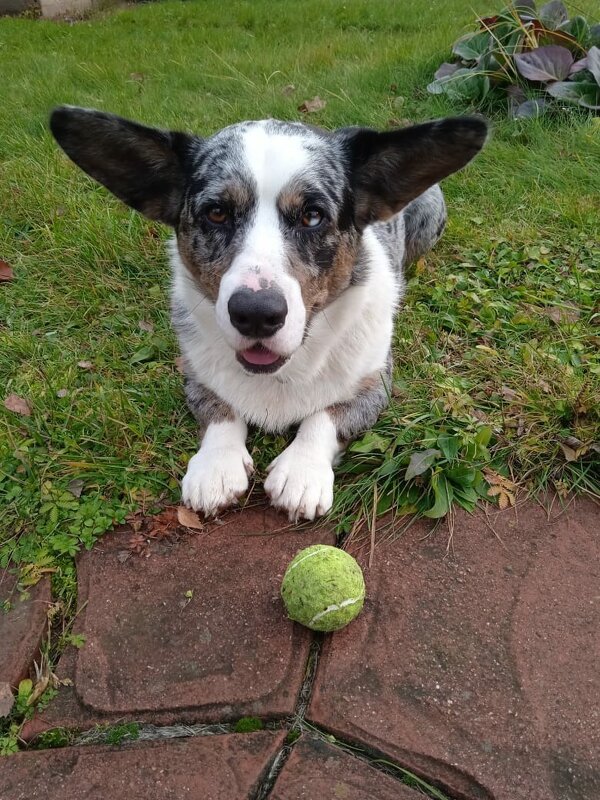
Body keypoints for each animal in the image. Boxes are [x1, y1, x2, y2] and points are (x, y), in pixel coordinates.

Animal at [50, 104, 488, 524]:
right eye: (216, 212)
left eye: (312, 215)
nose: (256, 314)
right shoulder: (195, 375)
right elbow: (220, 412)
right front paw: (215, 467)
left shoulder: (374, 383)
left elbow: (325, 416)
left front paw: (302, 472)